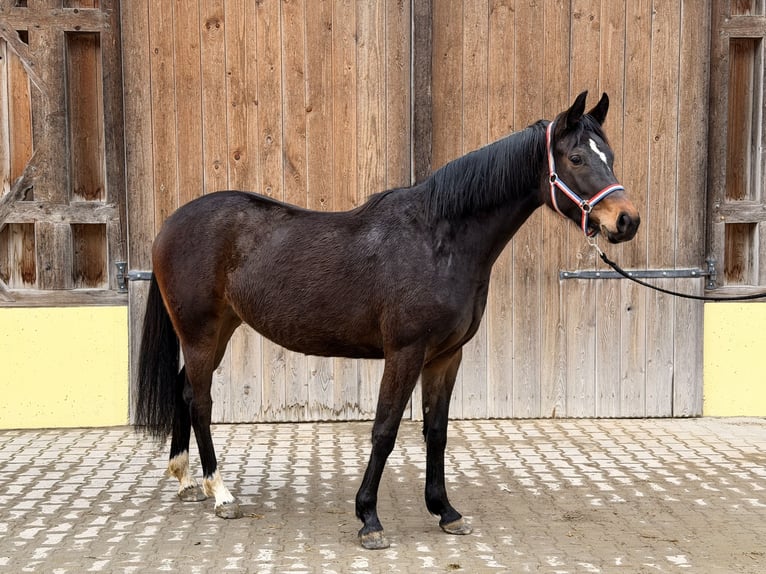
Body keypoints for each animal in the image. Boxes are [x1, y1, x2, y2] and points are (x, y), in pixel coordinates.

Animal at [135, 91, 640, 550]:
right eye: (576, 157)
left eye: (611, 156)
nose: (626, 220)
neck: (438, 240)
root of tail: (171, 223)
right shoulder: (405, 353)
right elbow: (385, 430)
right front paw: (369, 519)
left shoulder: (445, 357)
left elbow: (436, 432)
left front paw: (446, 511)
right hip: (200, 332)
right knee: (201, 401)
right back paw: (220, 492)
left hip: (219, 330)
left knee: (184, 389)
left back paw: (185, 480)